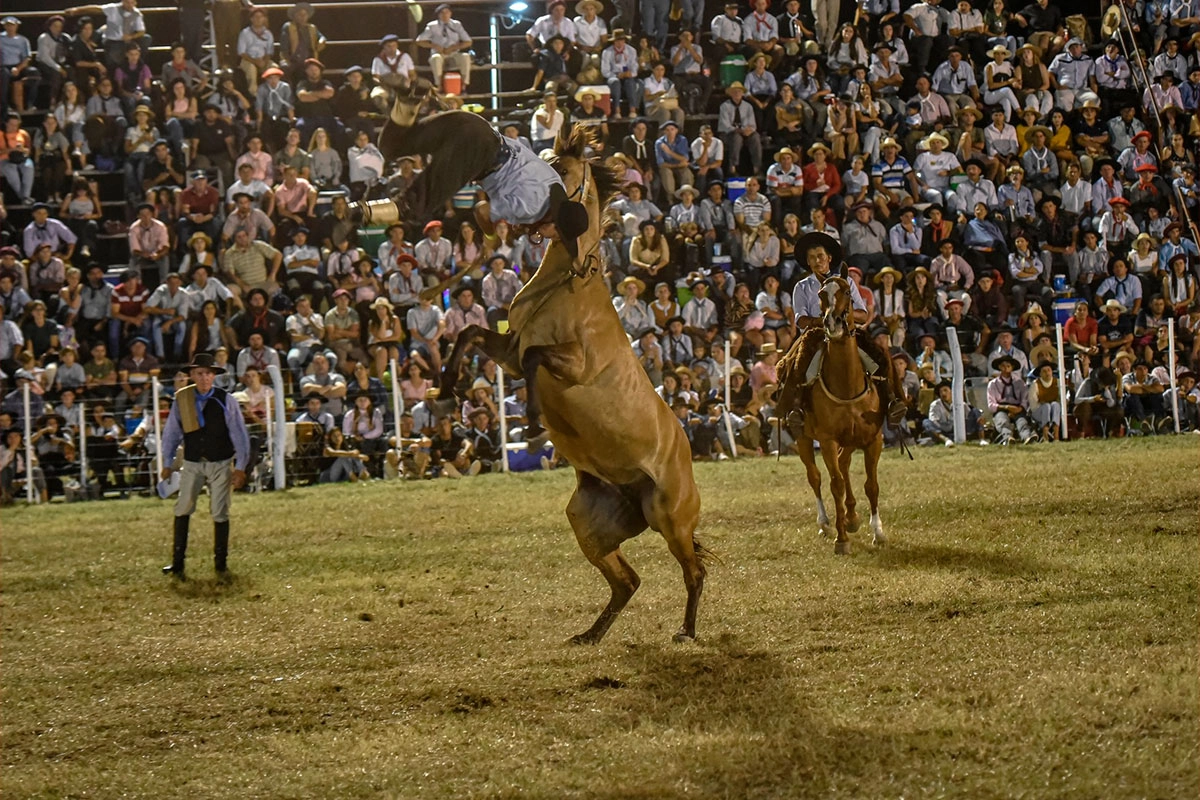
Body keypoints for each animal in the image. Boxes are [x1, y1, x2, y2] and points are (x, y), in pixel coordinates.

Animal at [436, 128, 705, 647]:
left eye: (560, 168)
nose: (498, 209)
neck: (570, 282)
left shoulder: (572, 364)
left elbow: (535, 360)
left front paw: (532, 425)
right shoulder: (510, 350)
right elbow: (471, 333)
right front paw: (446, 387)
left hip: (670, 518)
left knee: (693, 571)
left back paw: (685, 630)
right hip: (589, 521)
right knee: (628, 581)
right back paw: (590, 635)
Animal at [772, 268, 888, 556]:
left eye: (847, 291)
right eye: (822, 294)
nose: (832, 323)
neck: (847, 384)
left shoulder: (873, 439)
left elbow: (871, 485)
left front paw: (878, 532)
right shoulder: (826, 440)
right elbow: (834, 484)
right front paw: (841, 539)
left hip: (851, 439)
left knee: (844, 464)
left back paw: (852, 517)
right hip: (803, 438)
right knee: (815, 477)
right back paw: (826, 523)